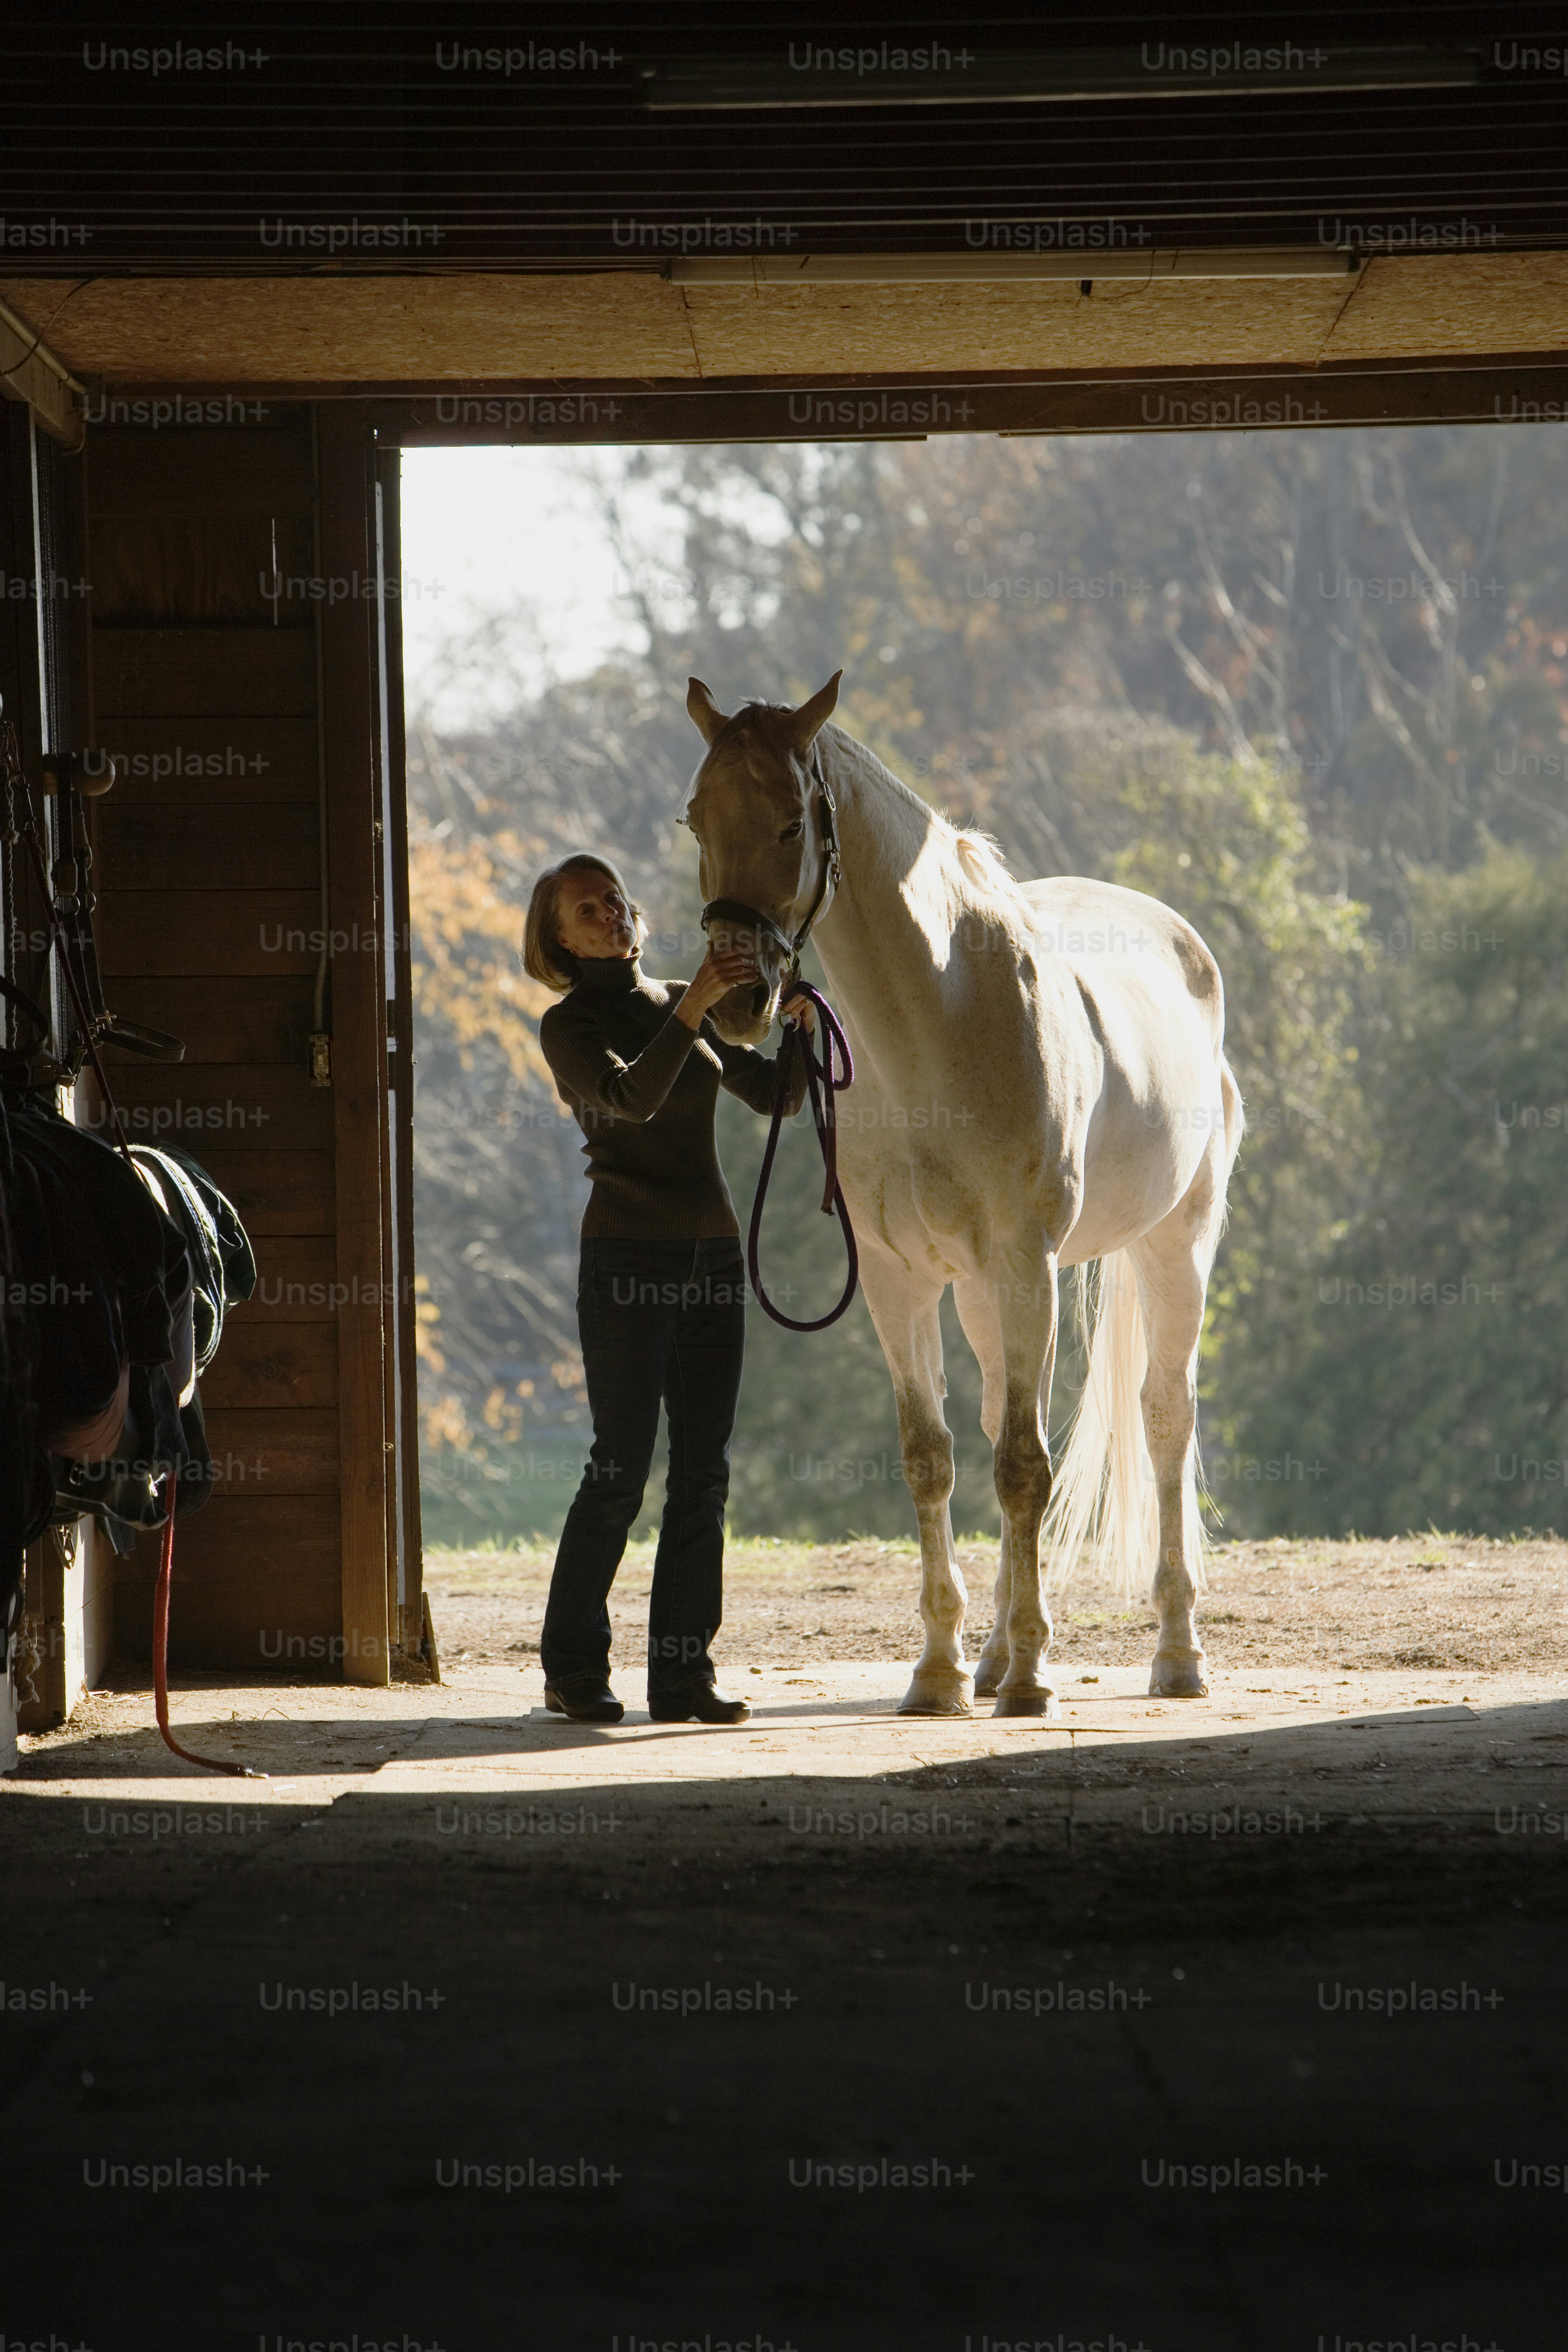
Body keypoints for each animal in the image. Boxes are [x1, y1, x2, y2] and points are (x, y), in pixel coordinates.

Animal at [682, 671, 1244, 1718]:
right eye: (695, 818)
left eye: (791, 824)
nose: (738, 998)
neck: (935, 1029)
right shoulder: (900, 1280)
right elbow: (935, 1457)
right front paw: (941, 1672)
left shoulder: (1027, 1267)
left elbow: (1026, 1466)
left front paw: (1029, 1679)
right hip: (986, 1294)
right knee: (995, 1427)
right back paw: (989, 1655)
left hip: (1171, 1249)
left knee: (1163, 1418)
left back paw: (1176, 1653)